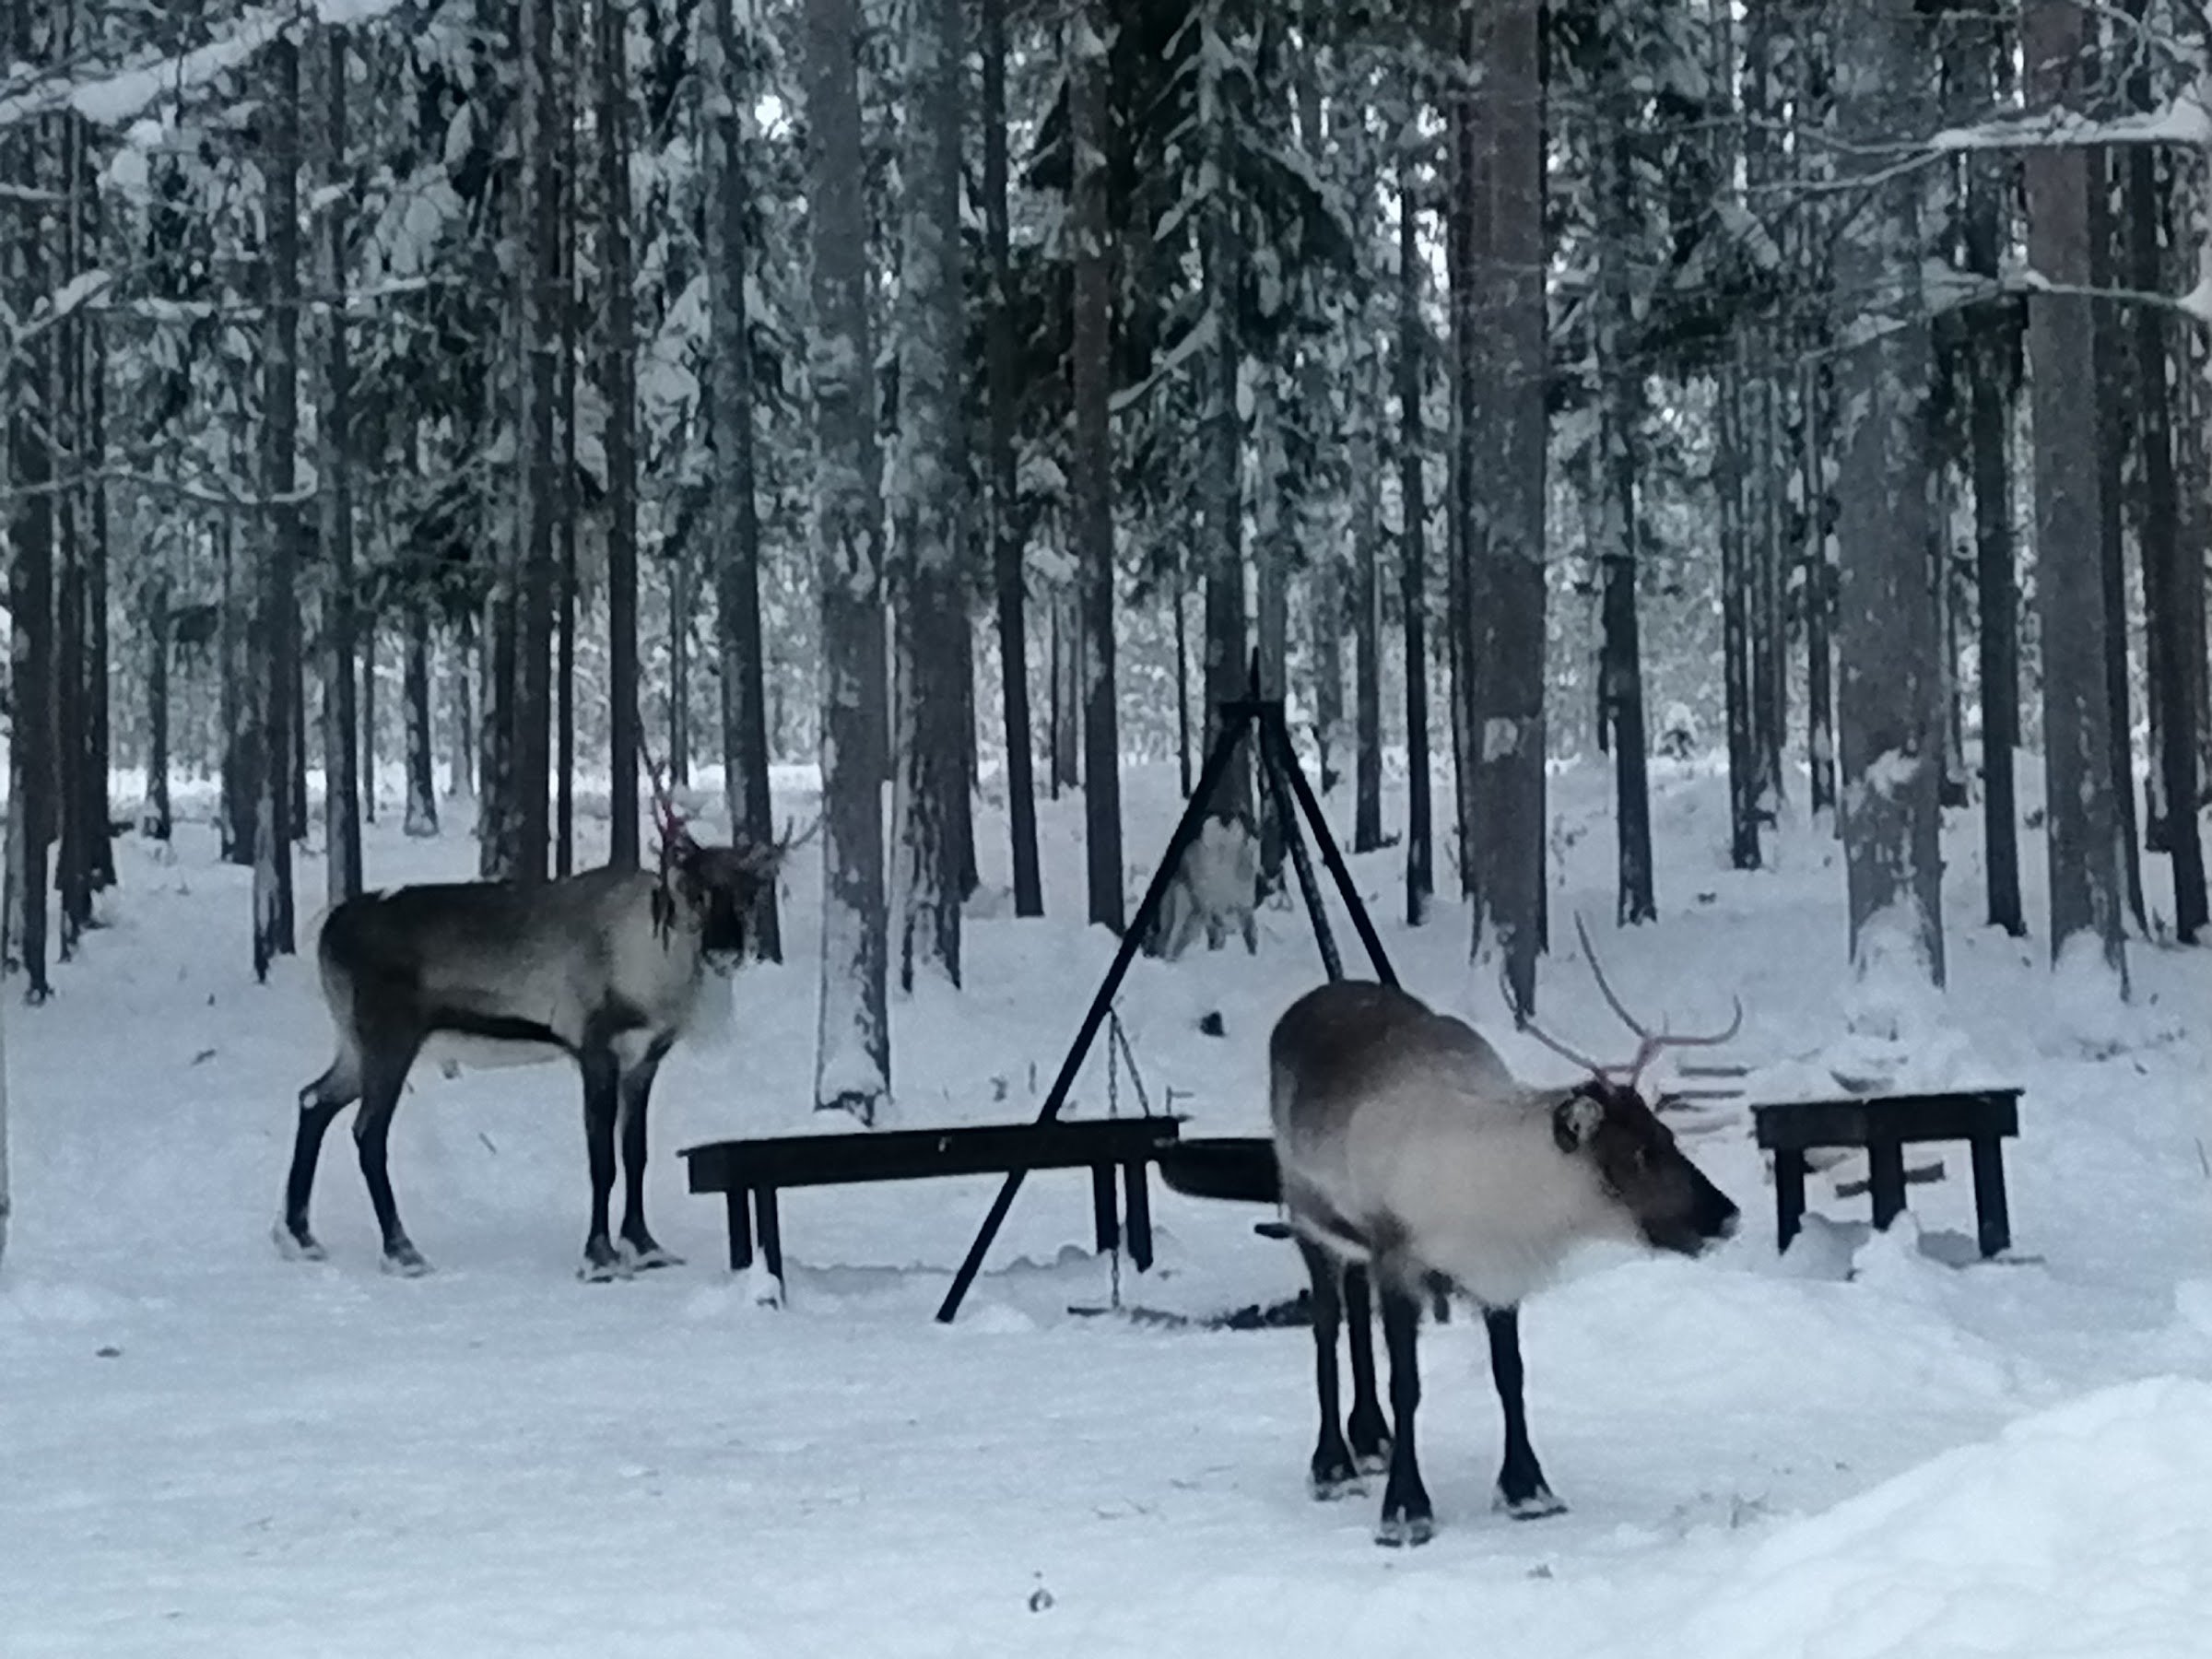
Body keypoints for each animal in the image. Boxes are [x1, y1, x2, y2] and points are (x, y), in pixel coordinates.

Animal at [276, 792, 809, 1283]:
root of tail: (328, 929)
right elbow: (602, 1159)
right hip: (389, 1041)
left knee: (312, 1100)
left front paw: (645, 1247)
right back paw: (402, 1251)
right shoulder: (594, 1050)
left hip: (354, 1045)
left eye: (749, 893)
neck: (653, 966)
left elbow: (635, 1154)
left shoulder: (644, 1059)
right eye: (696, 891)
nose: (725, 952)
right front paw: (599, 1258)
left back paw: (299, 1235)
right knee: (367, 1132)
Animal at [1269, 919, 1742, 1546]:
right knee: (1326, 1325)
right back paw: (1333, 1466)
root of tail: (1306, 1004)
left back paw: (1371, 1440)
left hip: (1353, 1242)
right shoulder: (1399, 1259)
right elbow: (1407, 1384)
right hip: (1306, 1216)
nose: (1727, 1216)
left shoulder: (1497, 1277)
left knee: (1354, 1312)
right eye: (1640, 1154)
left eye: (1668, 1136)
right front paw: (1405, 1510)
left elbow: (1510, 1376)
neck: (1498, 1188)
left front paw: (1528, 1490)